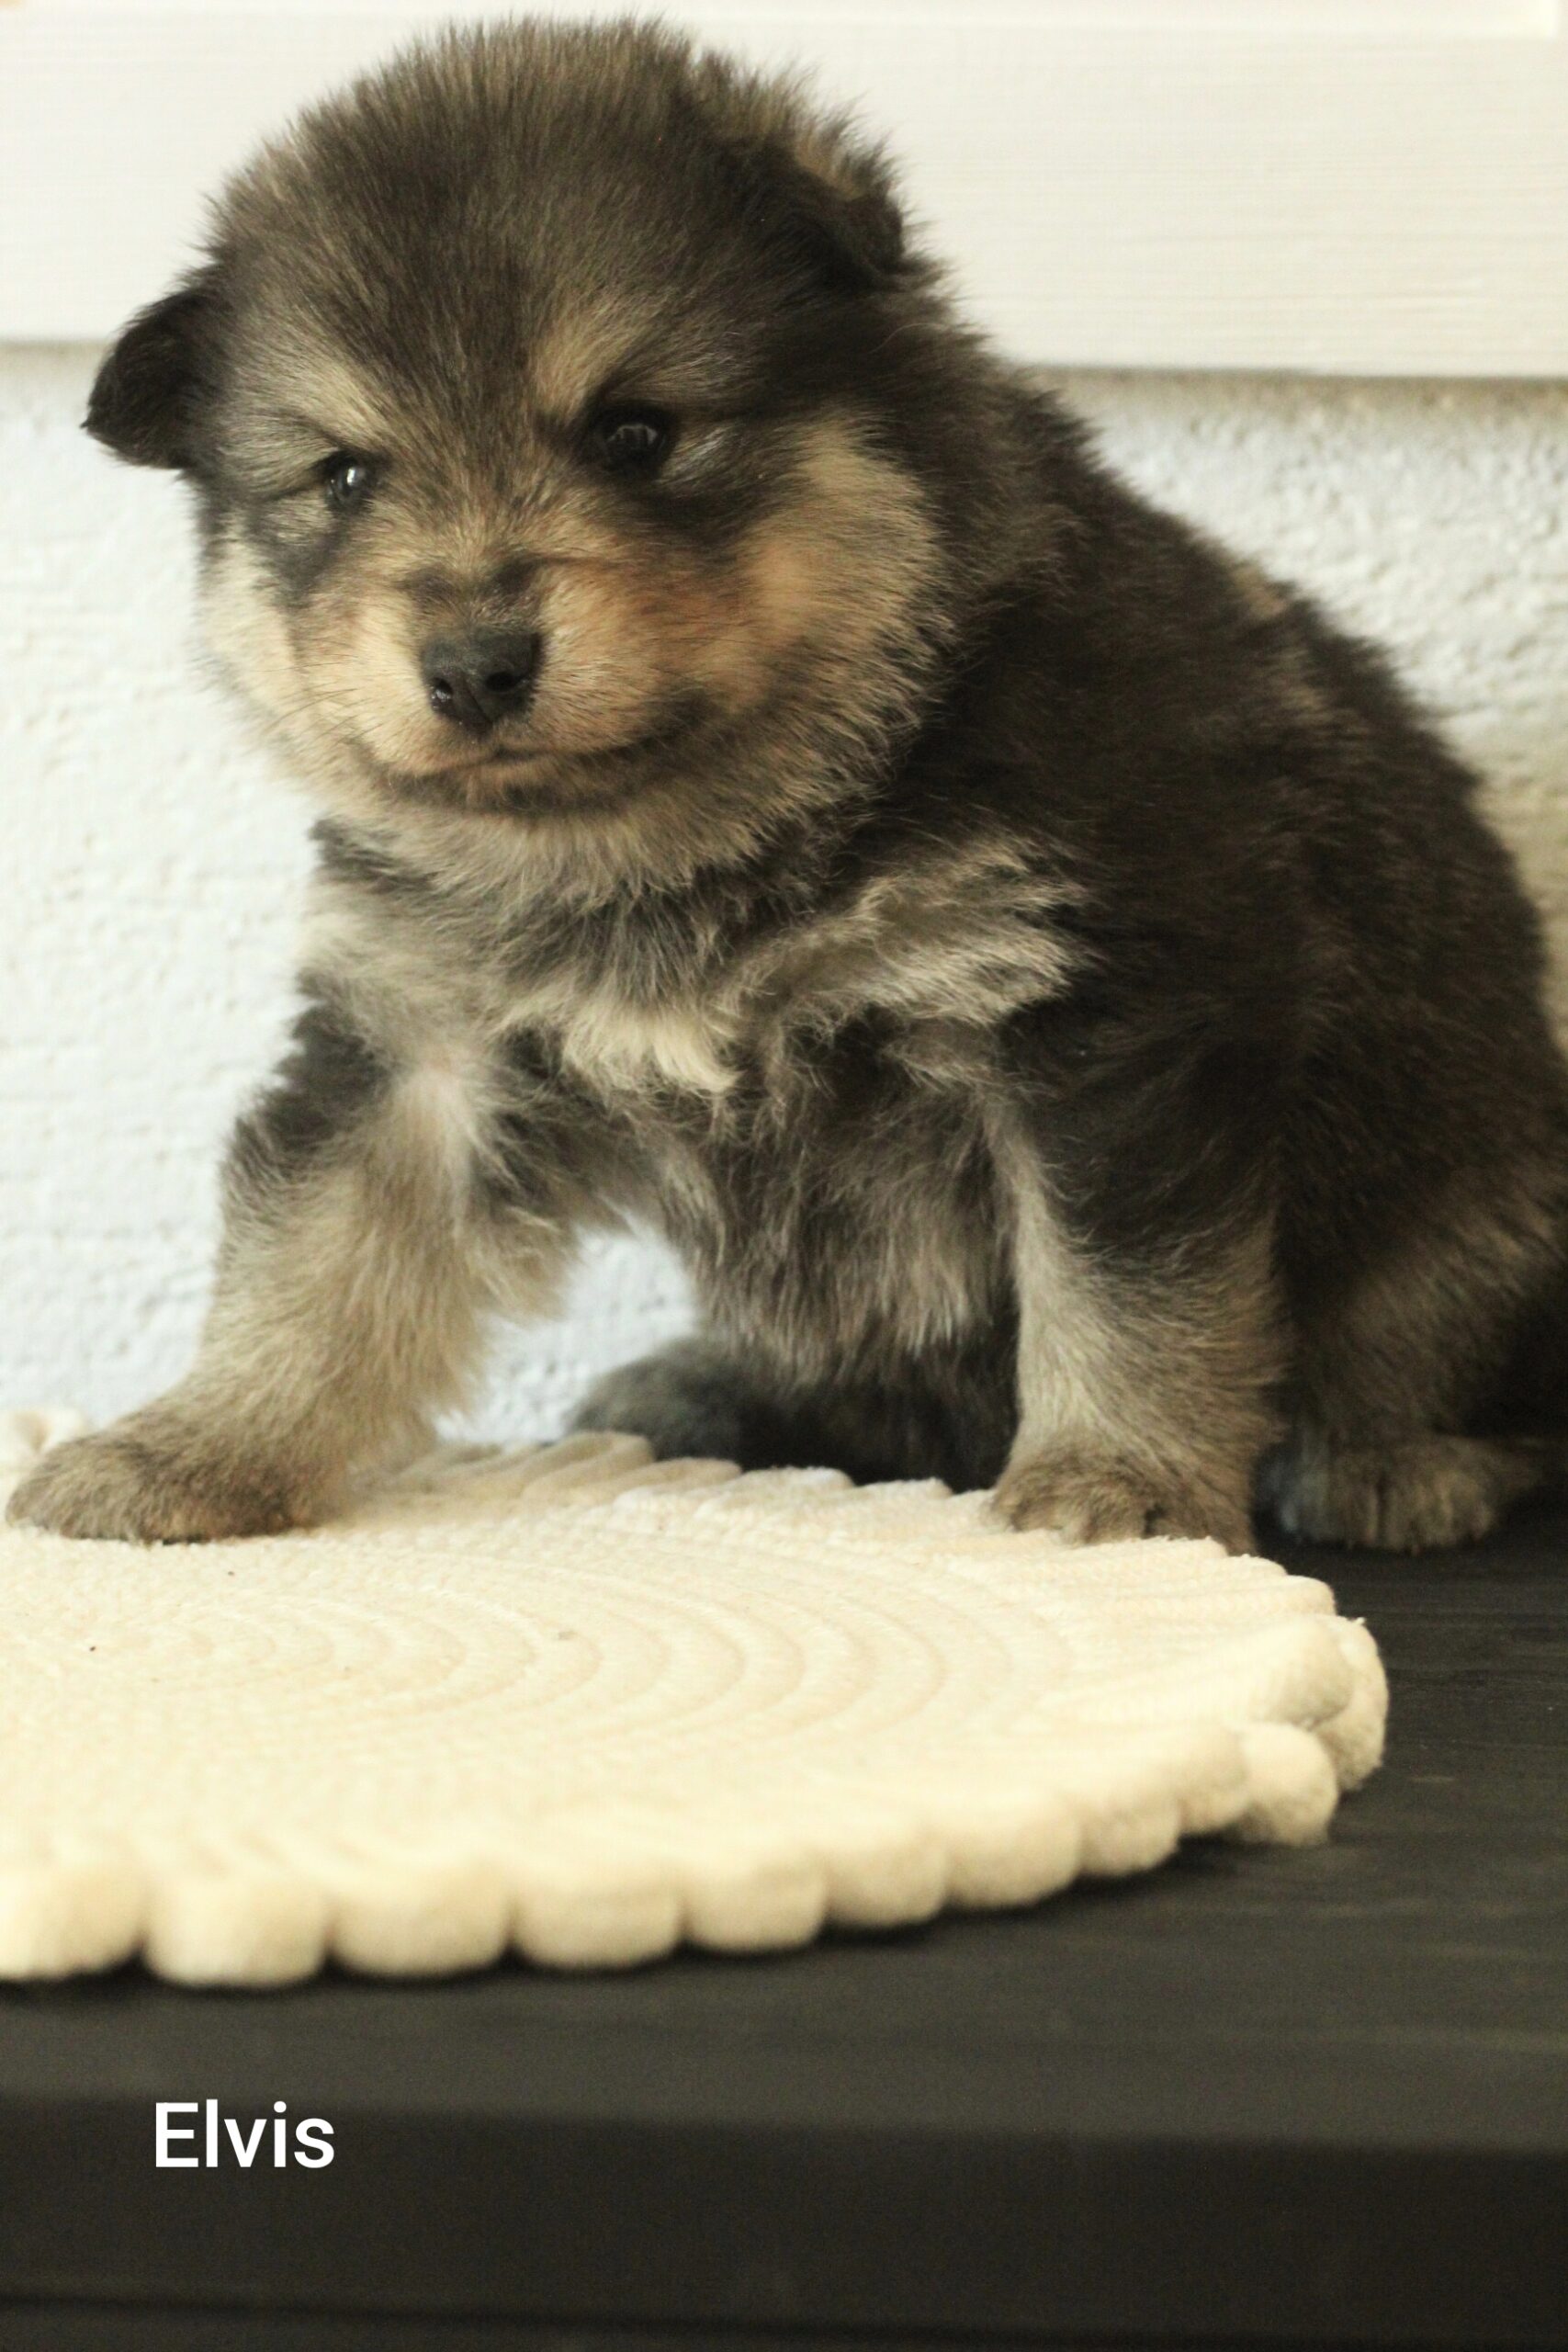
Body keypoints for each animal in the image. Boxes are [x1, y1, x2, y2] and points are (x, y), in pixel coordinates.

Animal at [13, 17, 1568, 1555]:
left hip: (1475, 1217)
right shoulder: (415, 1043)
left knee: (1431, 1360)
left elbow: (1126, 1294)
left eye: (635, 432)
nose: (471, 664)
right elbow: (308, 1261)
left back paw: (1396, 1463)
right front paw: (184, 1447)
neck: (681, 838)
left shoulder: (1098, 1026)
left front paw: (1115, 1484)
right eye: (341, 477)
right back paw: (701, 1389)